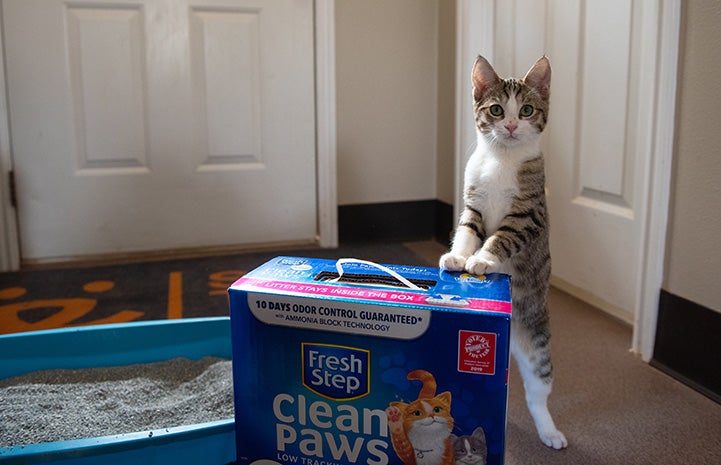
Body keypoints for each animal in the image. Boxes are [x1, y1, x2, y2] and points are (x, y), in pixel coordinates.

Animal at [438, 55, 568, 450]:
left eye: (526, 110)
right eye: (496, 109)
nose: (510, 125)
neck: (501, 159)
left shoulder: (528, 213)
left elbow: (502, 237)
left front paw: (482, 259)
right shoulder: (474, 202)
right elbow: (467, 230)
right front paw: (458, 257)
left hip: (537, 340)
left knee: (537, 391)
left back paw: (549, 431)